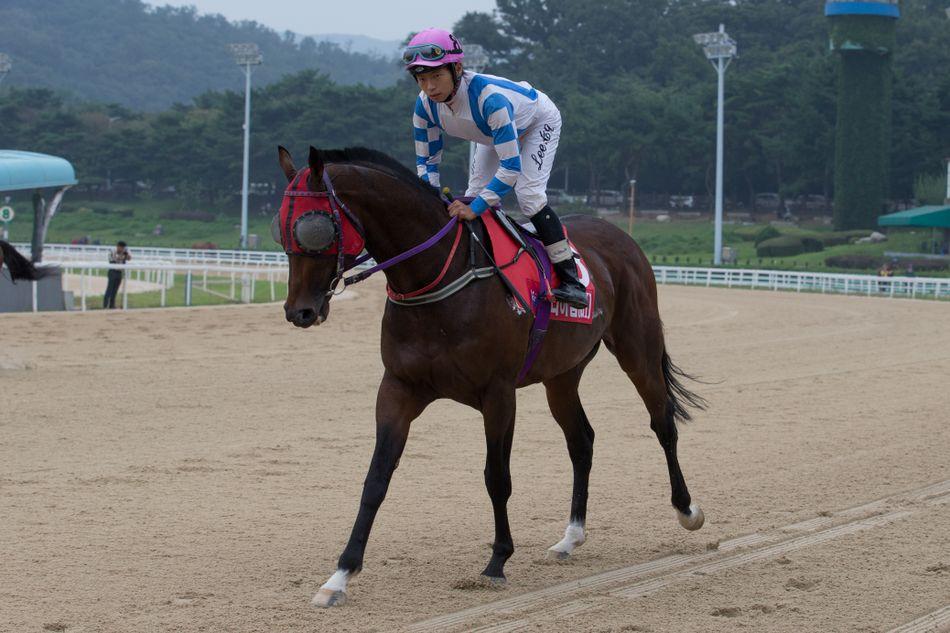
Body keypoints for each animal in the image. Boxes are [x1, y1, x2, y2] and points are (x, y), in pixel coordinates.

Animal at [276, 146, 708, 604]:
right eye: (281, 230)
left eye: (313, 228)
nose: (299, 310)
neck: (438, 279)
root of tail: (620, 236)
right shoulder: (398, 387)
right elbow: (376, 479)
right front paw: (340, 574)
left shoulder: (499, 393)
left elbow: (496, 477)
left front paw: (497, 560)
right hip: (562, 374)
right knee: (582, 441)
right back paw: (571, 536)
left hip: (636, 346)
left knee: (662, 421)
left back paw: (686, 508)